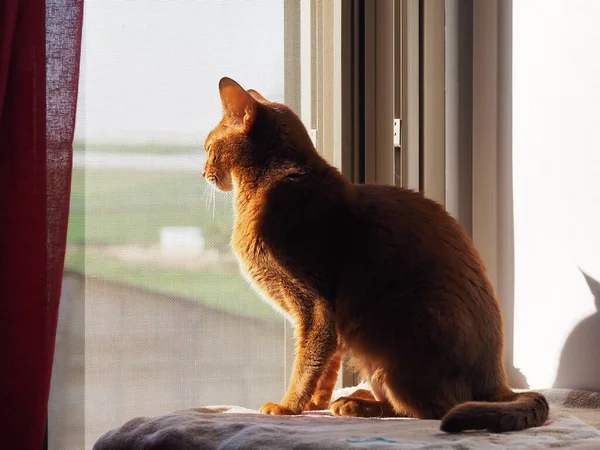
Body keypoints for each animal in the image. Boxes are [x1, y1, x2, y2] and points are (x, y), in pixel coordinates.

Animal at [204, 76, 552, 432]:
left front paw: (288, 406)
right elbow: (326, 365)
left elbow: (306, 364)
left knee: (432, 409)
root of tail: (497, 381)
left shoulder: (316, 306)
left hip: (399, 340)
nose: (204, 171)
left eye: (207, 147)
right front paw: (315, 403)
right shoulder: (327, 322)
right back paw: (353, 400)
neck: (269, 185)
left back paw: (359, 405)